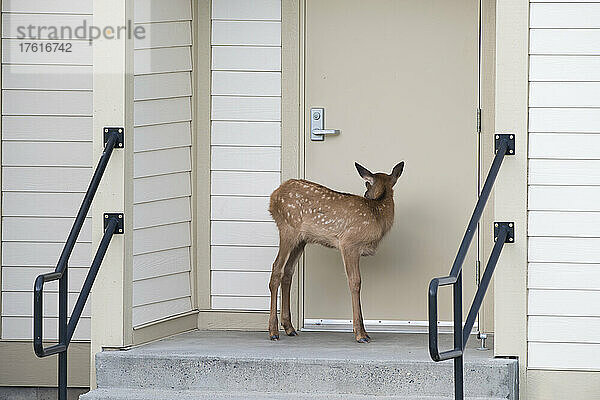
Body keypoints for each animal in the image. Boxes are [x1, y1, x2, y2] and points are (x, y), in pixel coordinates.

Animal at [268, 161, 404, 342]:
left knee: (288, 271)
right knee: (276, 268)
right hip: (287, 228)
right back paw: (273, 331)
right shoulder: (349, 243)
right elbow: (355, 282)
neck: (377, 214)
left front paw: (365, 332)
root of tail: (273, 196)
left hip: (301, 240)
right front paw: (360, 334)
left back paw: (289, 328)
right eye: (366, 184)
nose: (366, 194)